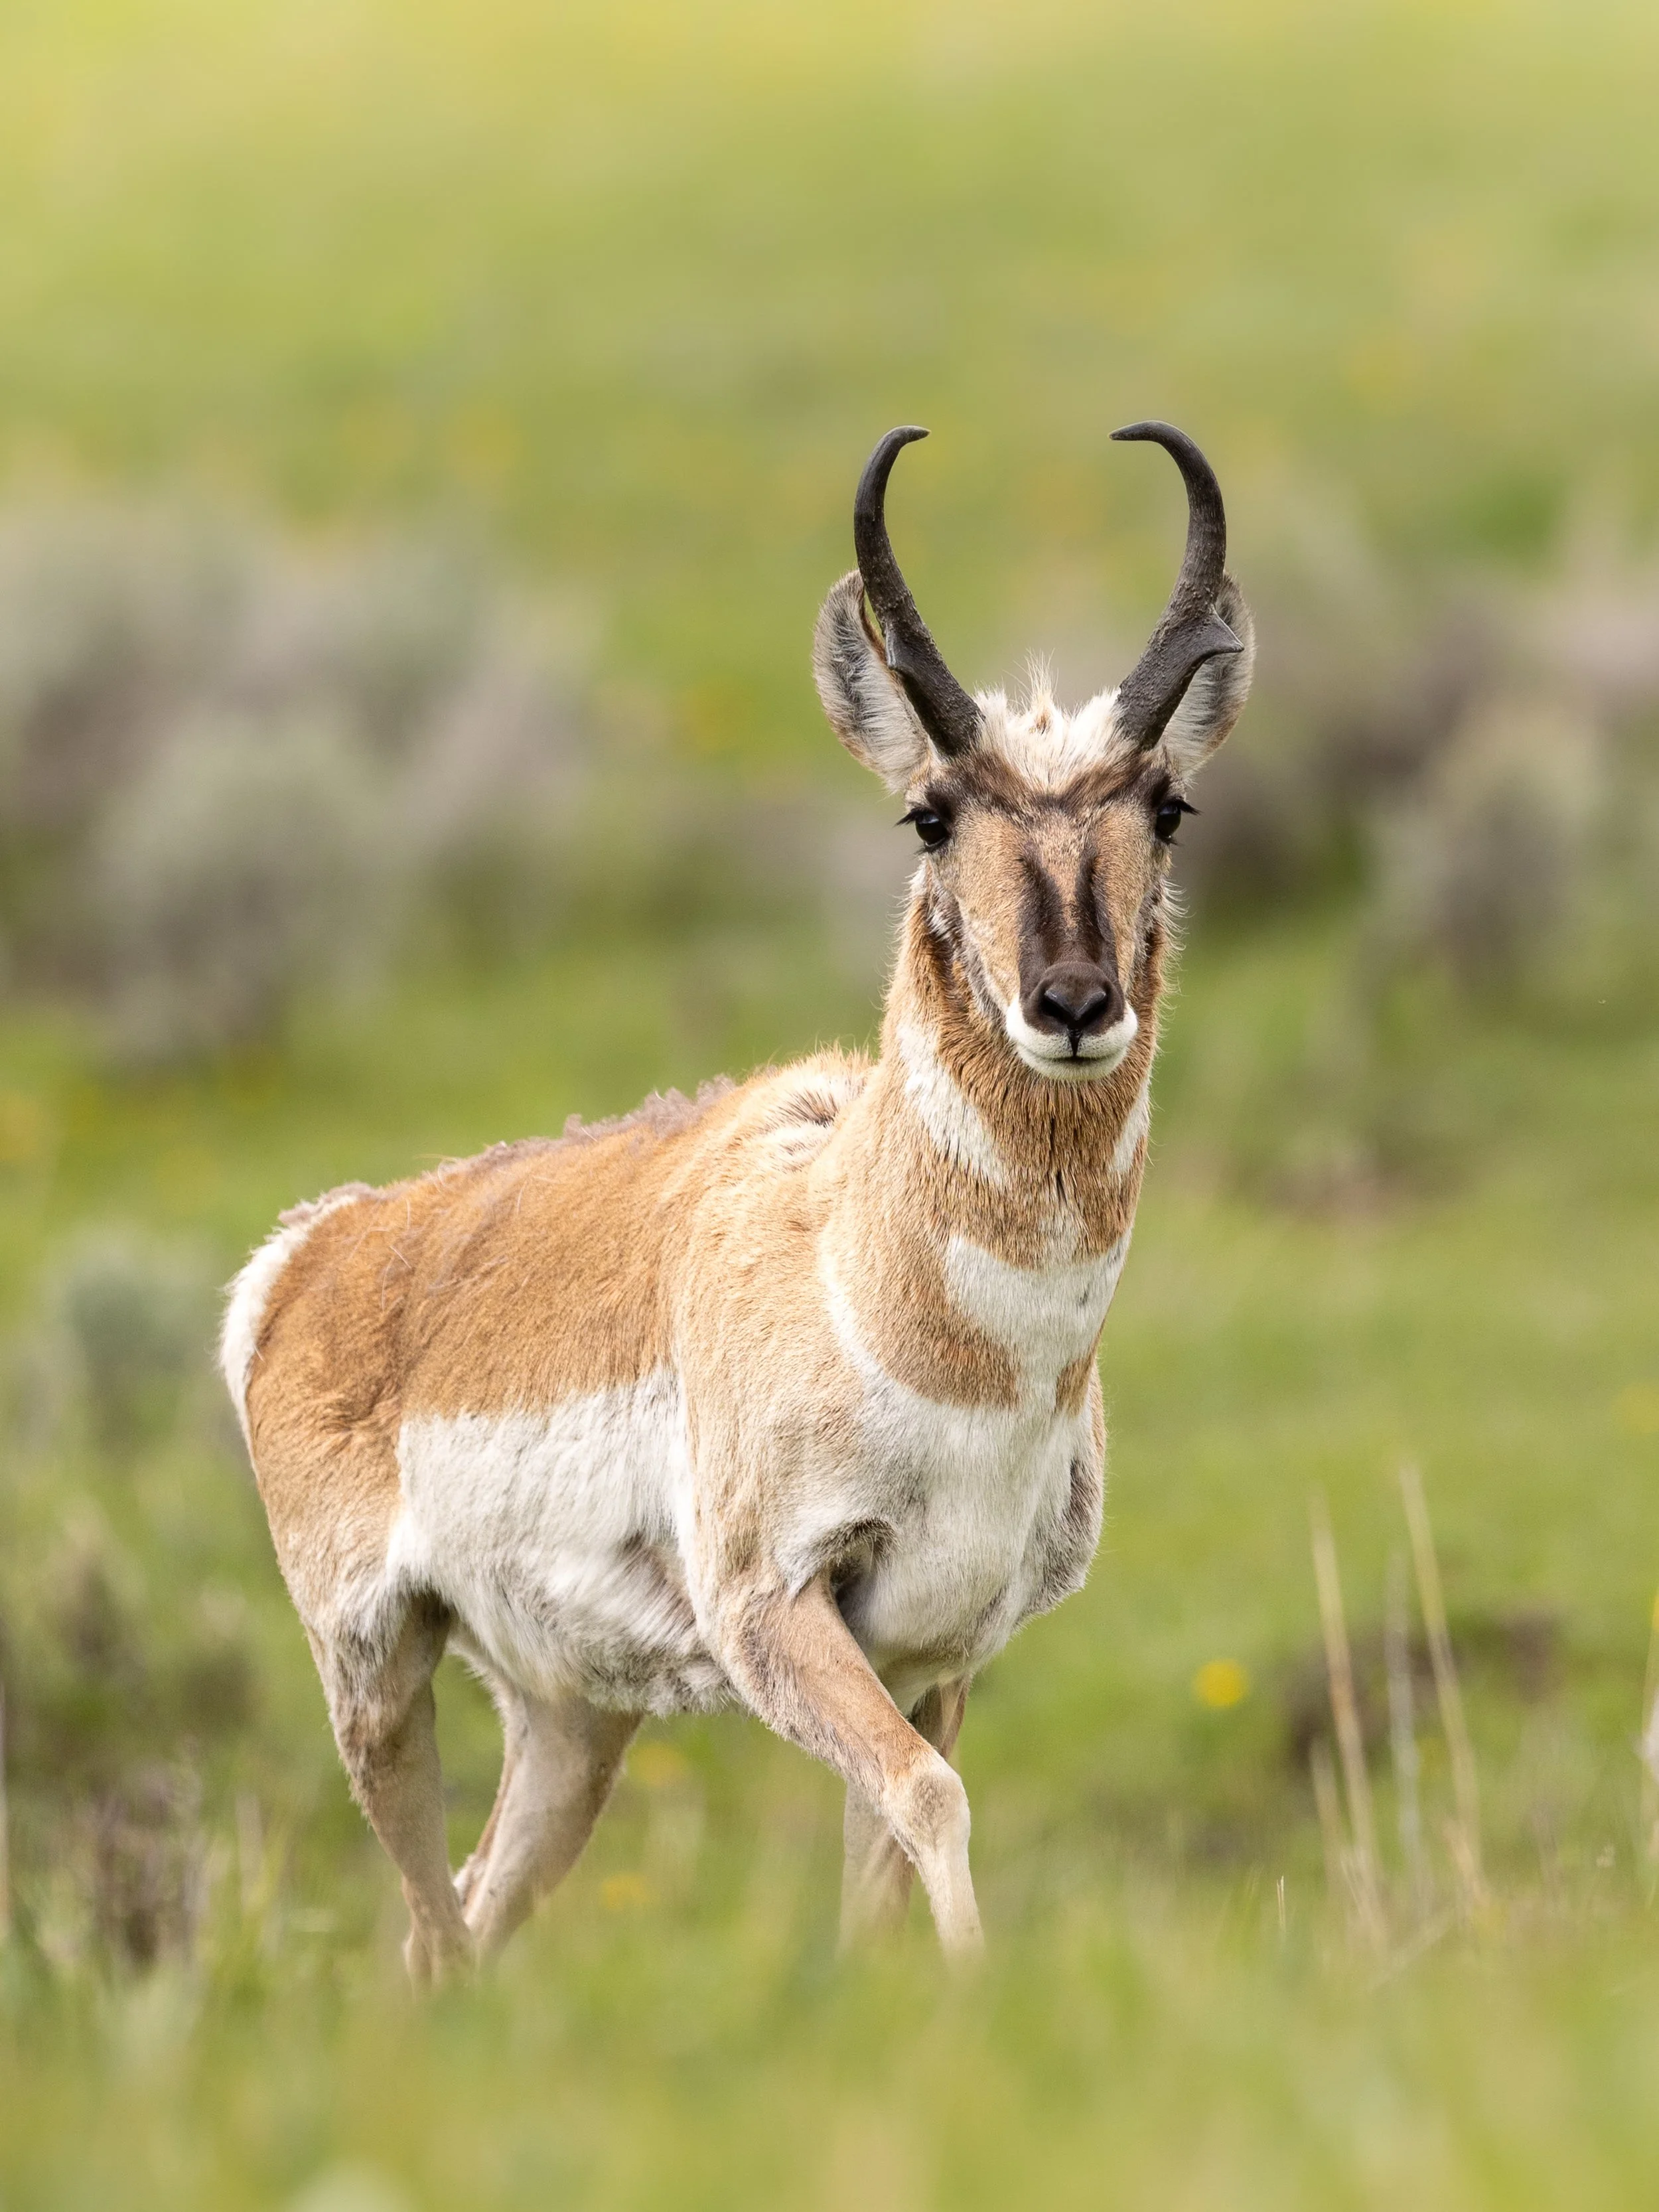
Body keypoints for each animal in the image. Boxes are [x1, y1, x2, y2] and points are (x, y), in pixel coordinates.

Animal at [221, 422, 1254, 1976]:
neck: (864, 1266)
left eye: (1168, 807)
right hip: (377, 1676)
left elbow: (886, 1841)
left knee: (464, 1912)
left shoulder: (934, 1648)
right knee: (430, 1924)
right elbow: (931, 1797)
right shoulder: (776, 1610)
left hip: (571, 1718)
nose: (1074, 1004)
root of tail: (317, 1250)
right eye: (928, 811)